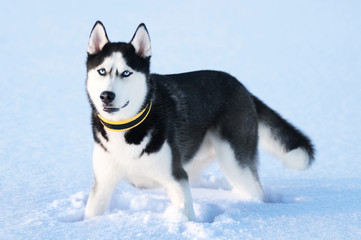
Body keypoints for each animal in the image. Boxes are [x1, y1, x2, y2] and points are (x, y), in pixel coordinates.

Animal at [83, 21, 312, 220]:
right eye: (102, 71)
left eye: (126, 73)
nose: (106, 96)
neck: (125, 130)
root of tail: (241, 86)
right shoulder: (102, 184)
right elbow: (92, 213)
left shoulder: (176, 177)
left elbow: (185, 214)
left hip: (235, 163)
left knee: (255, 191)